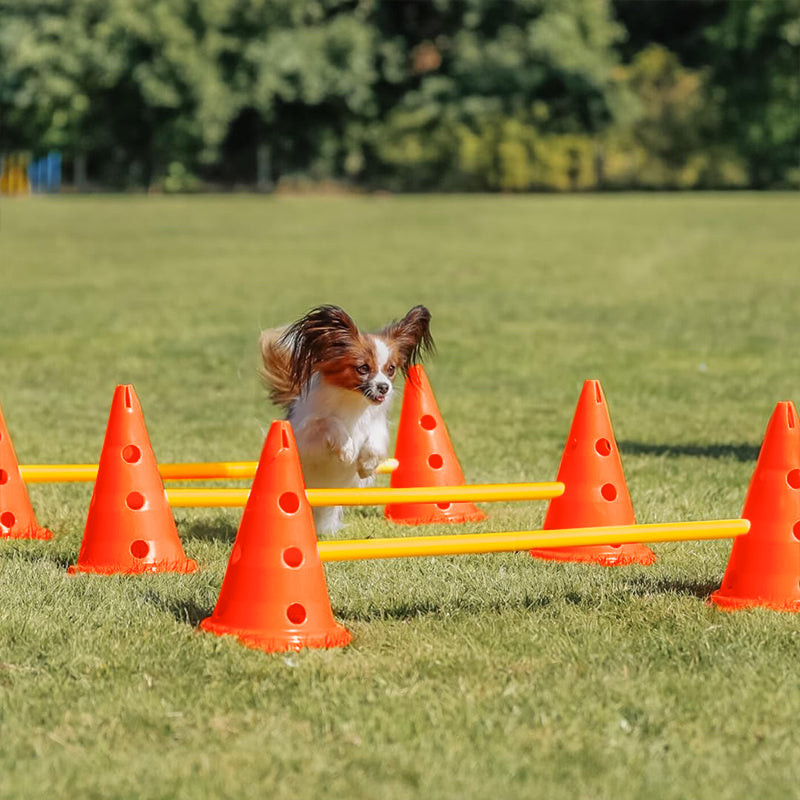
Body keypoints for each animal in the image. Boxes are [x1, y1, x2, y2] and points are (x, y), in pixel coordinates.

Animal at [258, 304, 432, 536]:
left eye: (390, 369)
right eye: (363, 368)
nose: (384, 387)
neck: (353, 401)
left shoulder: (376, 424)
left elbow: (375, 441)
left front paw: (366, 464)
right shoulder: (306, 440)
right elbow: (330, 422)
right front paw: (347, 449)